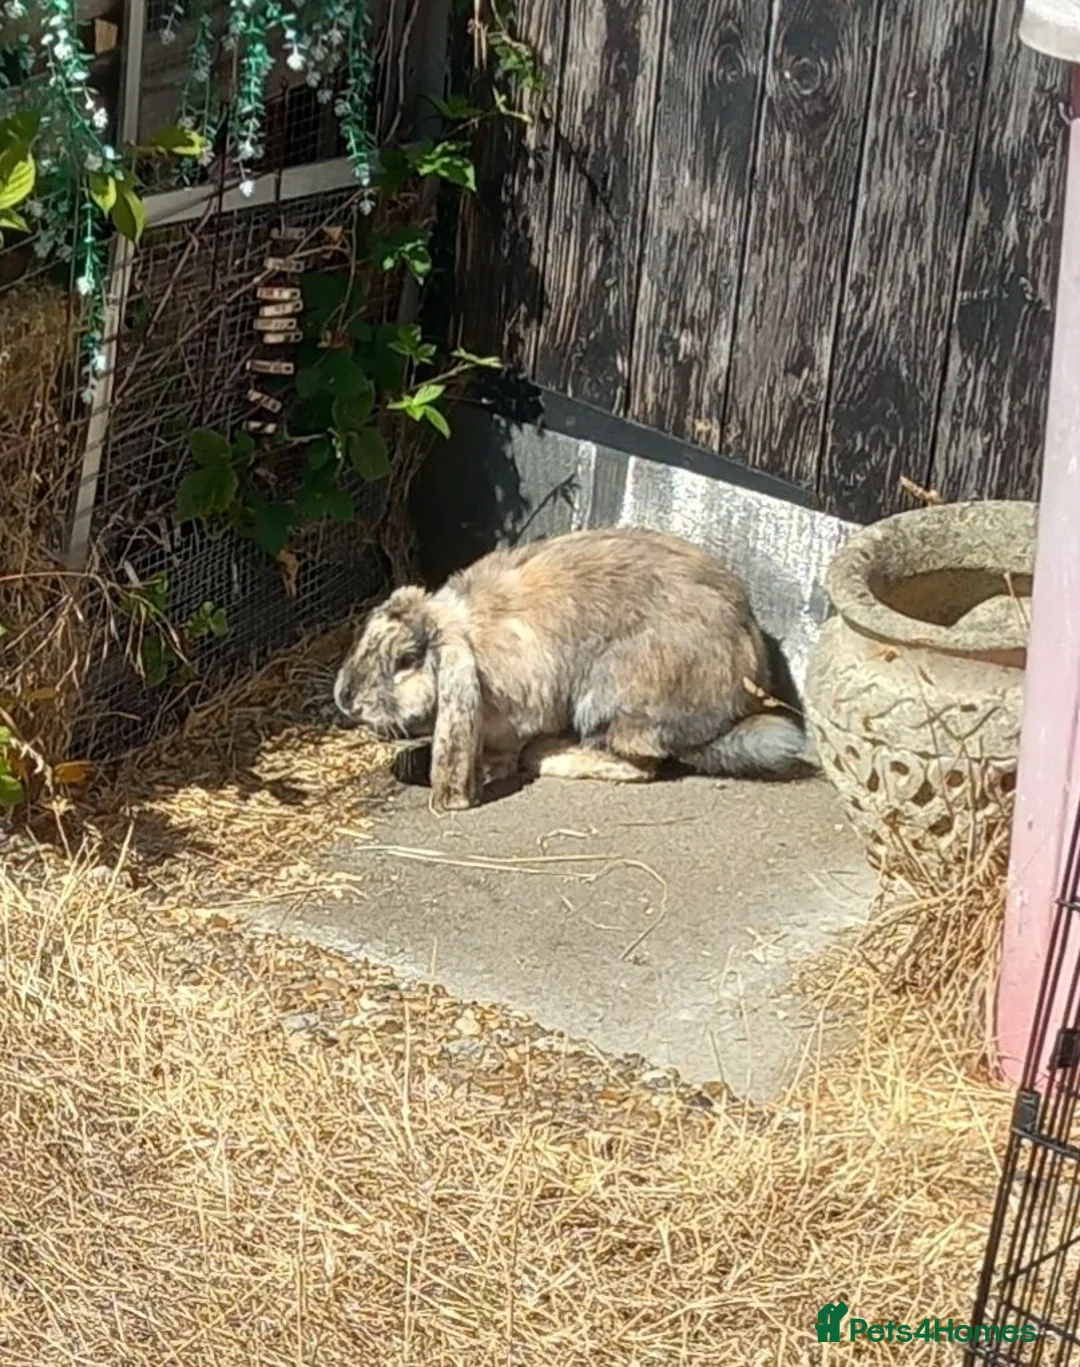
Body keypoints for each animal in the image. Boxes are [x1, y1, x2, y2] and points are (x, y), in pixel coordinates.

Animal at [333, 526, 811, 810]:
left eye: (405, 661)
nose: (345, 699)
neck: (468, 635)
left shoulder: (512, 717)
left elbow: (500, 755)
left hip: (610, 696)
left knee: (641, 764)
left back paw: (551, 755)